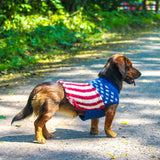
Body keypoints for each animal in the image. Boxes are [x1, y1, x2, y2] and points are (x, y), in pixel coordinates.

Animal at [11, 54, 141, 143]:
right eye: (130, 66)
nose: (141, 74)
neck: (109, 80)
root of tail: (40, 86)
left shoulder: (94, 111)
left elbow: (95, 122)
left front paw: (94, 132)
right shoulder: (111, 111)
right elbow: (107, 125)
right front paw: (110, 134)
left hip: (45, 112)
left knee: (42, 124)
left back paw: (46, 135)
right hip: (49, 111)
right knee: (37, 124)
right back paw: (40, 139)